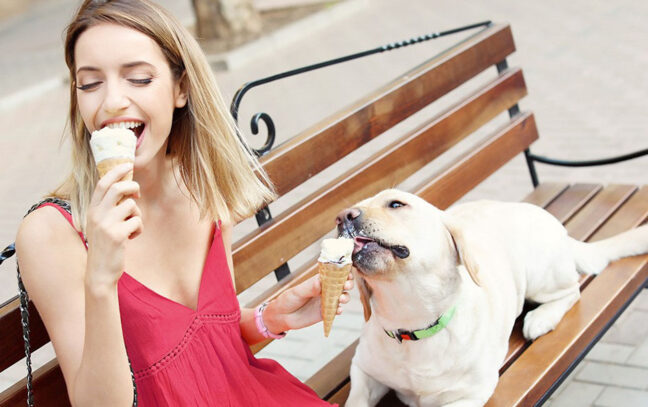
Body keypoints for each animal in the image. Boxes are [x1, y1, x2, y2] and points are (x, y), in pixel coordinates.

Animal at [340, 190, 648, 407]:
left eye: (396, 204)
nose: (343, 216)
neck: (413, 322)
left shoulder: (470, 395)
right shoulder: (363, 370)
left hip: (540, 274)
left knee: (571, 291)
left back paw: (541, 318)